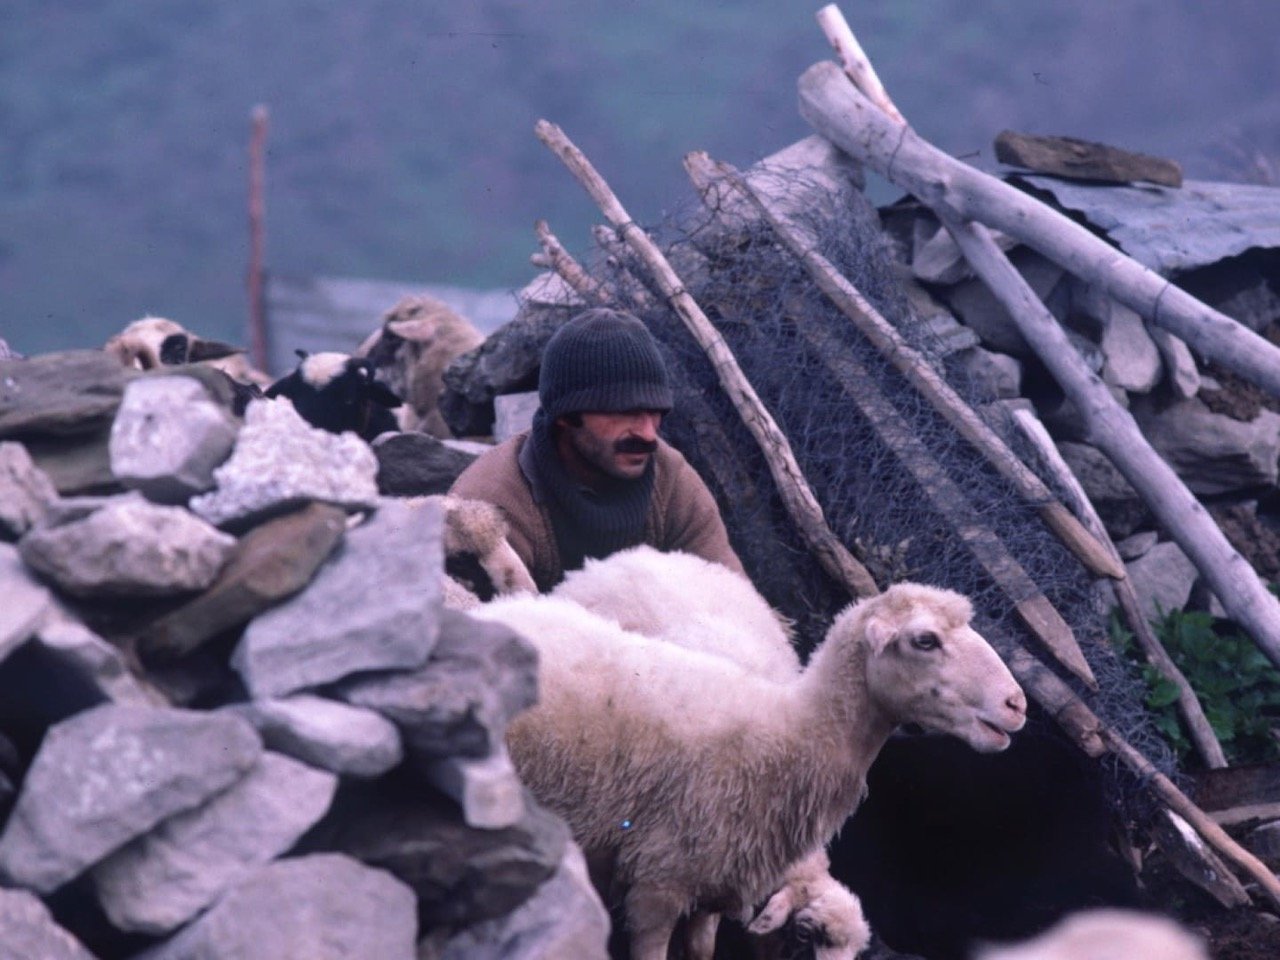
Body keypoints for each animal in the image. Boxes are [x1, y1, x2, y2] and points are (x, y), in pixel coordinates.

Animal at [471, 578, 1029, 960]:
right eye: (925, 640)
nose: (1017, 704)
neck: (788, 732)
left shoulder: (714, 886)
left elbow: (700, 952)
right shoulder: (656, 883)